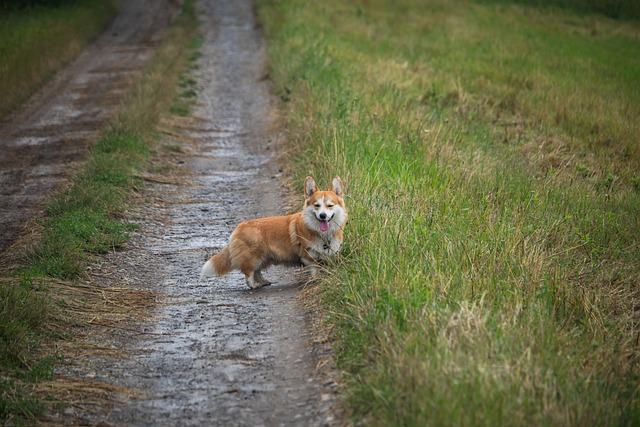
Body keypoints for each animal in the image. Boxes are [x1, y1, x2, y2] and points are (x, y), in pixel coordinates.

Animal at [201, 176, 348, 290]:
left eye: (330, 205)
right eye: (317, 205)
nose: (323, 216)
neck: (322, 233)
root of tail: (237, 229)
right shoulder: (308, 255)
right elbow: (314, 269)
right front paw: (316, 280)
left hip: (264, 258)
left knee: (257, 271)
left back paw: (263, 282)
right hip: (253, 257)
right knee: (249, 273)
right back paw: (254, 285)